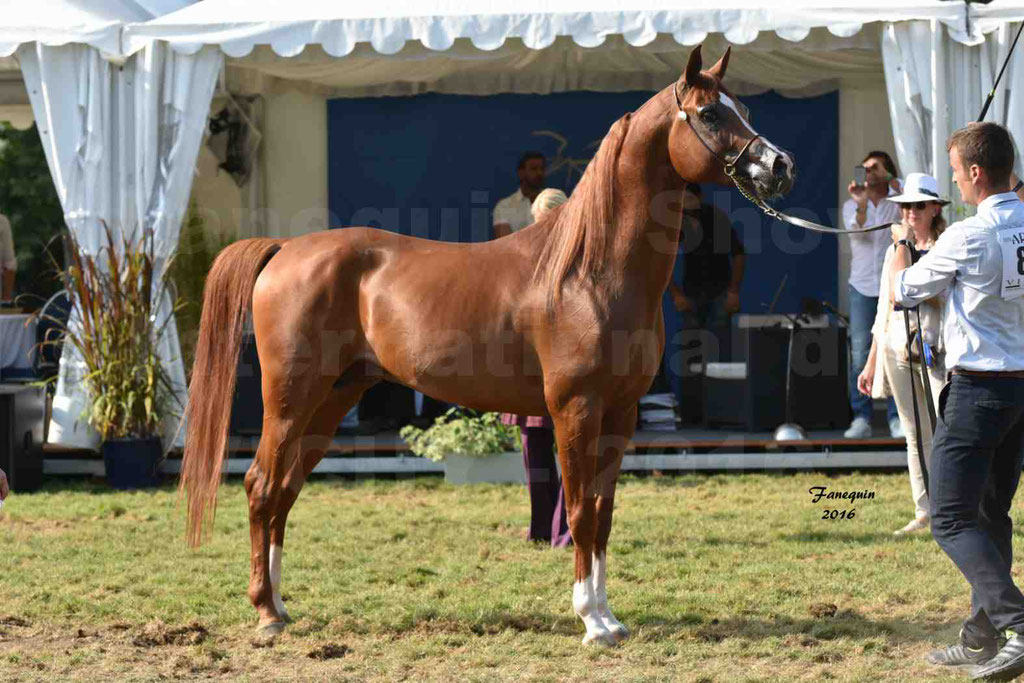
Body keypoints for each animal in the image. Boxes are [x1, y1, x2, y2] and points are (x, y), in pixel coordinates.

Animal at [180, 46, 794, 647]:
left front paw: (610, 617)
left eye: (744, 109)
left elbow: (603, 512)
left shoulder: (620, 414)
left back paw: (280, 607)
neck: (588, 271)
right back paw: (264, 612)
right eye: (710, 114)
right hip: (290, 398)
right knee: (261, 486)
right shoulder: (575, 410)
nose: (780, 166)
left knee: (284, 490)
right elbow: (580, 512)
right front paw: (591, 623)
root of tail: (284, 249)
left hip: (332, 400)